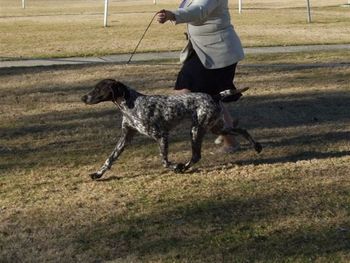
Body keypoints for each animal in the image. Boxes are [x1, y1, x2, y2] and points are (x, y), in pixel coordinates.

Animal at [80, 79, 262, 180]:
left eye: (98, 89)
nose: (83, 98)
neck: (131, 104)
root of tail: (214, 96)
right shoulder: (125, 138)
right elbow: (109, 159)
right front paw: (98, 174)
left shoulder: (162, 135)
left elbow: (164, 161)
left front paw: (175, 167)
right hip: (216, 128)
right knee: (242, 130)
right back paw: (257, 146)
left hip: (196, 130)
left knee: (196, 156)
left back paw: (183, 167)